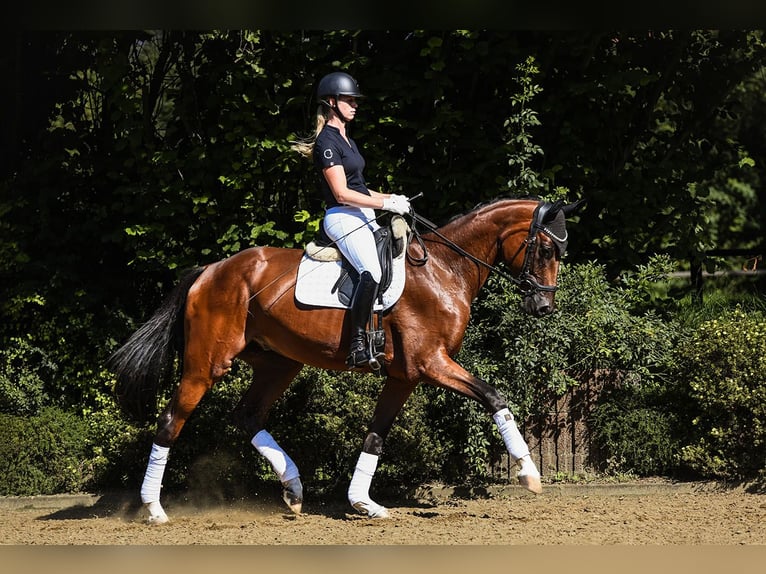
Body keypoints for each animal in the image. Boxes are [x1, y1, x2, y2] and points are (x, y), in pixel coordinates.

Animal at [108, 198, 584, 528]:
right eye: (546, 250)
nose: (543, 307)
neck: (446, 270)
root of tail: (211, 270)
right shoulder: (432, 364)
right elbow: (494, 397)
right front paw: (529, 473)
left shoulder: (405, 376)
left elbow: (374, 437)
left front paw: (363, 503)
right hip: (207, 364)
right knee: (171, 421)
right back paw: (154, 509)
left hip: (279, 363)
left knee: (247, 416)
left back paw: (294, 489)